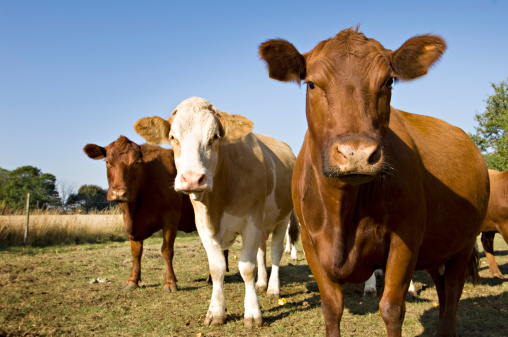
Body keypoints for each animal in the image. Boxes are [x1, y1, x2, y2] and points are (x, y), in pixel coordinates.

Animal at [83, 136, 196, 292]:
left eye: (136, 163)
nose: (119, 193)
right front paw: (132, 281)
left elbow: (167, 250)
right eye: (107, 162)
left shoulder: (171, 217)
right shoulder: (131, 224)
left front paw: (170, 282)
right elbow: (136, 252)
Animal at [134, 96, 298, 326]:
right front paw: (216, 311)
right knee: (262, 250)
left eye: (214, 136)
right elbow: (217, 269)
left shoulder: (251, 223)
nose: (192, 179)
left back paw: (273, 288)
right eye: (173, 137)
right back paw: (261, 284)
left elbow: (247, 268)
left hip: (282, 217)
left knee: (275, 251)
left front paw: (253, 312)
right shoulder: (203, 226)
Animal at [260, 26, 490, 336]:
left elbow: (392, 309)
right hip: (437, 249)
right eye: (311, 84)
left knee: (453, 292)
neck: (342, 211)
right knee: (442, 290)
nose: (356, 154)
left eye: (388, 81)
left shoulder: (405, 240)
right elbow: (331, 308)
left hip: (463, 245)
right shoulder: (311, 244)